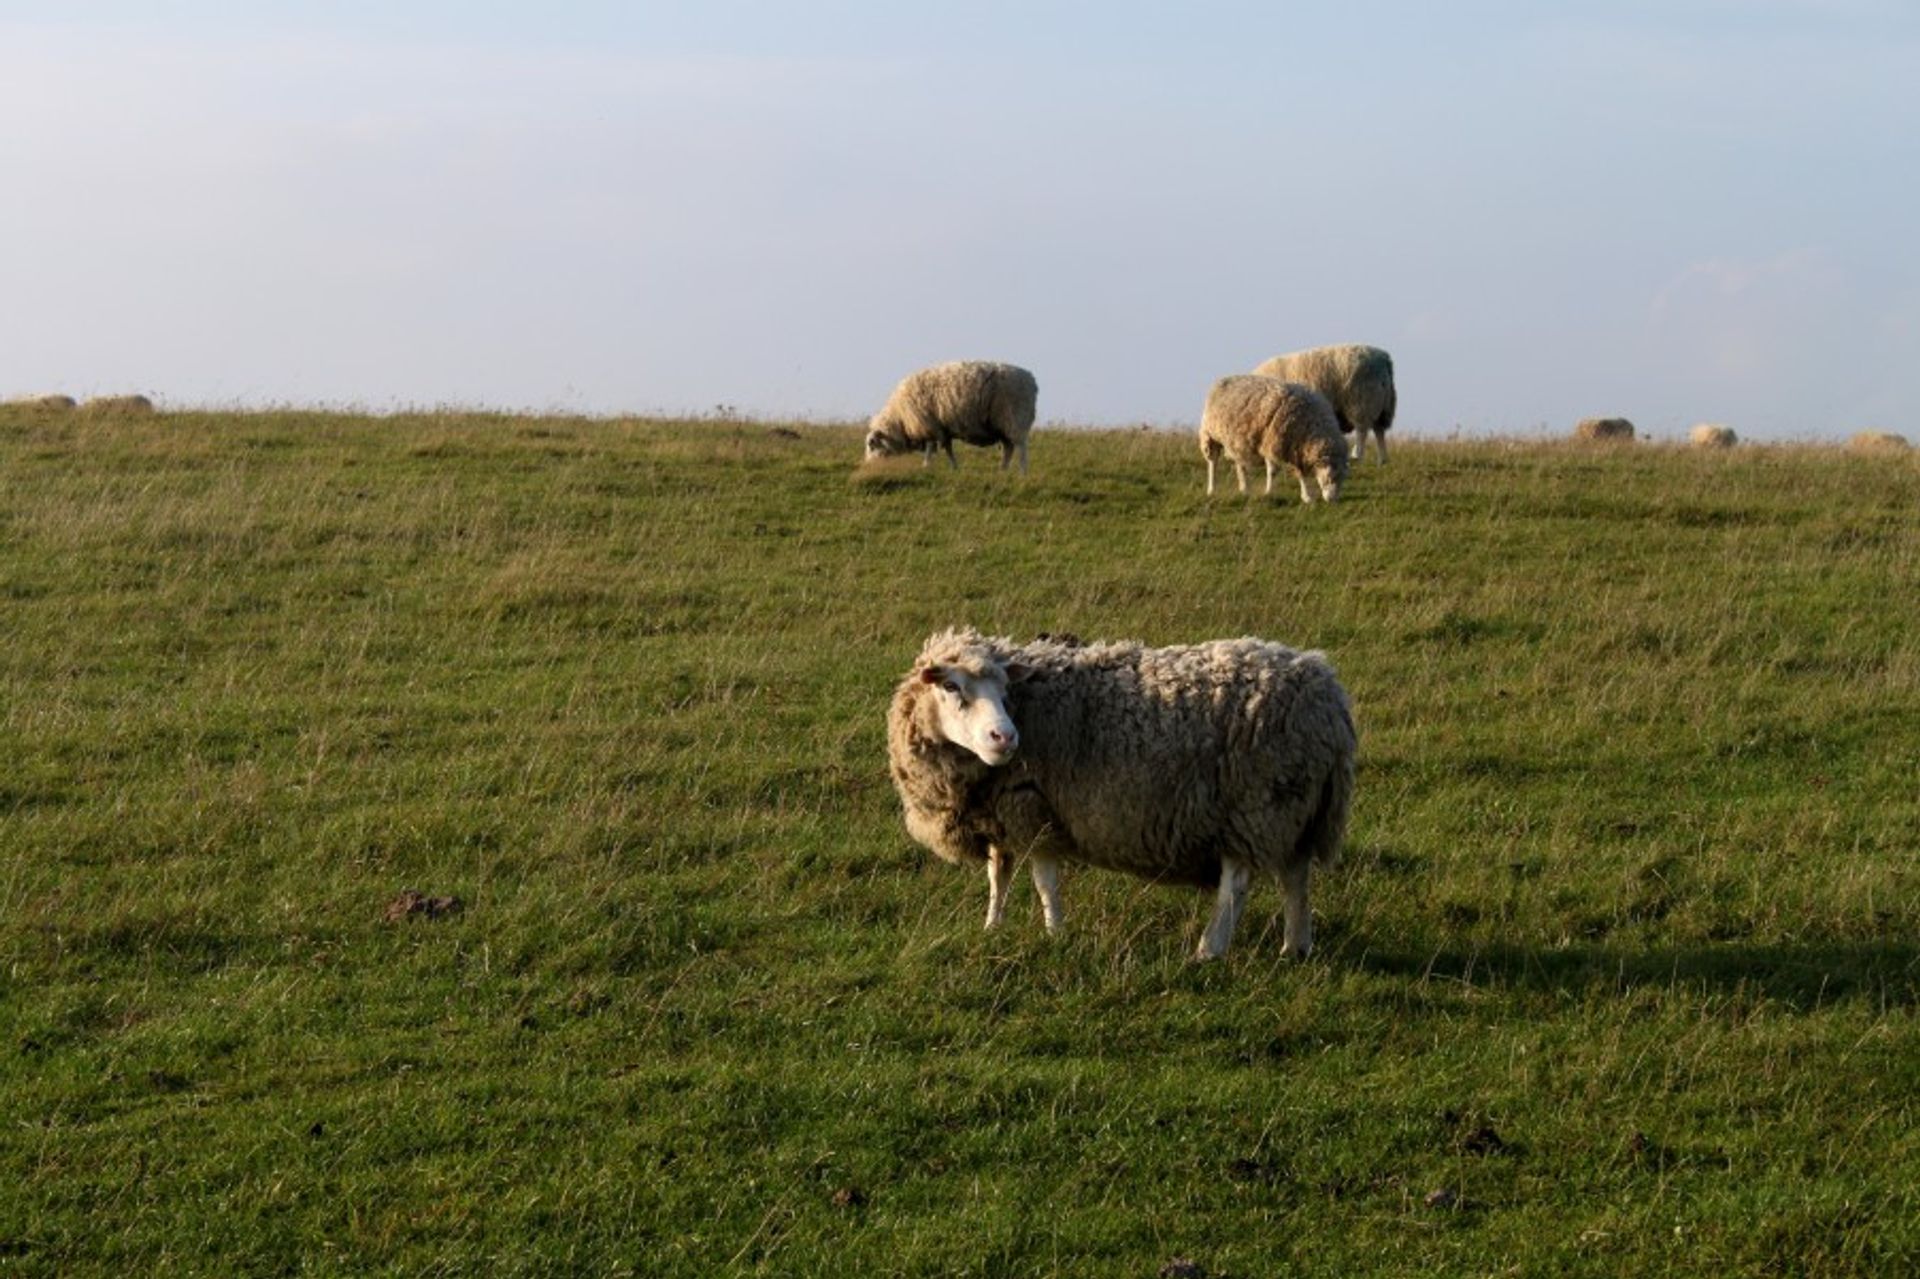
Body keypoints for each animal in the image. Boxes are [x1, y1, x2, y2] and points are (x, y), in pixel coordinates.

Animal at [860, 359, 1036, 472]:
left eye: (871, 444)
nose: (868, 466)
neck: (900, 418)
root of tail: (1031, 380)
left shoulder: (929, 424)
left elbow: (931, 448)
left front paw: (926, 466)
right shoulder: (942, 428)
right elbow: (948, 450)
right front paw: (954, 468)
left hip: (1015, 418)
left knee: (1021, 448)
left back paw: (1022, 472)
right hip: (1003, 425)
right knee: (1008, 449)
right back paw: (1002, 470)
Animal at [883, 622, 1351, 960]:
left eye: (1005, 689)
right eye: (951, 687)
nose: (1005, 737)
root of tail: (1330, 700)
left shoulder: (1035, 812)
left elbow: (1044, 882)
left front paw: (1056, 934)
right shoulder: (1002, 817)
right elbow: (999, 875)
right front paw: (992, 928)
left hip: (1254, 807)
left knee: (1236, 885)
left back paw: (1210, 950)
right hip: (1293, 808)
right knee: (1295, 878)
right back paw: (1296, 946)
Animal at [1198, 370, 1351, 499]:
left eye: (1342, 480)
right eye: (1330, 478)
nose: (1332, 500)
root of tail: (1224, 379)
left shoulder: (1296, 450)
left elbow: (1300, 474)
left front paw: (1306, 496)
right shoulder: (1271, 442)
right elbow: (1272, 471)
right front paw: (1268, 491)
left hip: (1236, 441)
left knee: (1240, 464)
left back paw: (1244, 489)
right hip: (1210, 435)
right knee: (1213, 463)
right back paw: (1211, 489)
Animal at [1244, 343, 1397, 462]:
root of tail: (1384, 359)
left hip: (1361, 401)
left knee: (1362, 430)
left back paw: (1356, 455)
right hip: (1382, 403)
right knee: (1379, 430)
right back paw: (1382, 459)